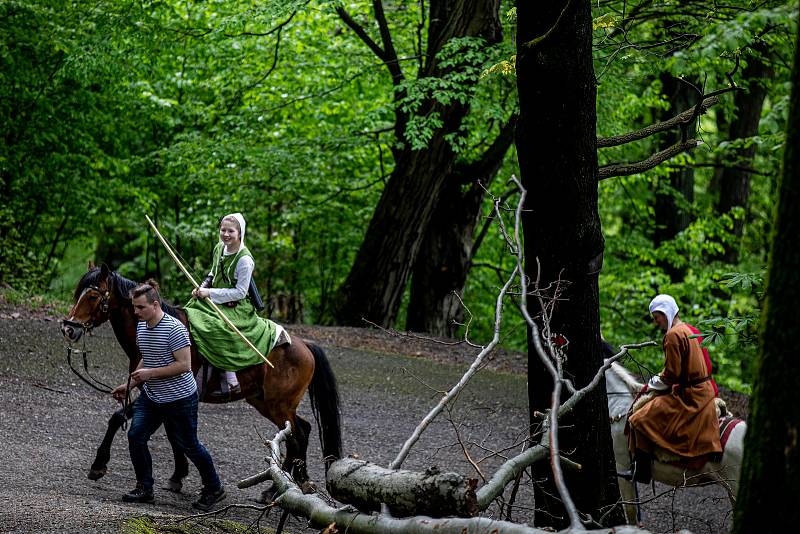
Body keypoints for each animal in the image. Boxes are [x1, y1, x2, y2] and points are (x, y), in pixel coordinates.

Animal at [59, 266, 340, 496]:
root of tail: (304, 345)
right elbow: (173, 433)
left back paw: (279, 488)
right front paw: (178, 475)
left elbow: (119, 417)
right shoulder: (162, 394)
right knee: (301, 430)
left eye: (92, 296)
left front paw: (99, 465)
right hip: (264, 402)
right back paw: (291, 482)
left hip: (278, 405)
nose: (69, 328)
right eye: (77, 293)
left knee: (297, 435)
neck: (154, 328)